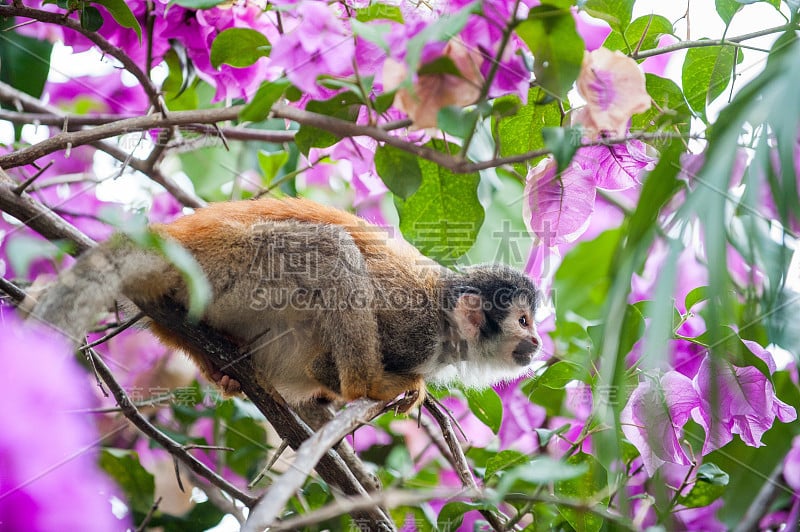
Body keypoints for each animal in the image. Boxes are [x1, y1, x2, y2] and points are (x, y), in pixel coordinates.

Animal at [32, 197, 544, 410]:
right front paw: (363, 385)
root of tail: (172, 240)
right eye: (523, 320)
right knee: (331, 249)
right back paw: (365, 385)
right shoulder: (413, 327)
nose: (538, 342)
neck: (444, 328)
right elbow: (323, 365)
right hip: (235, 264)